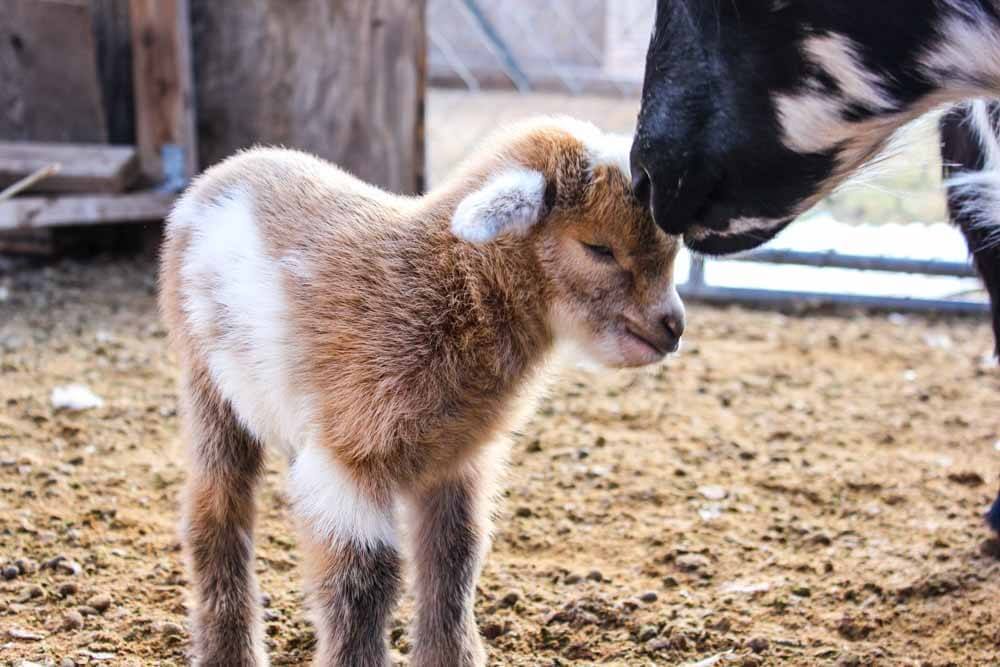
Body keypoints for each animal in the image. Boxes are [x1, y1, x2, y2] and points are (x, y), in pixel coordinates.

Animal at [158, 117, 688, 664]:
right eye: (598, 248)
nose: (672, 327)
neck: (448, 282)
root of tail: (225, 172)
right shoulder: (350, 458)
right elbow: (363, 581)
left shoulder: (454, 462)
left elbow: (455, 559)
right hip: (206, 384)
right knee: (216, 510)